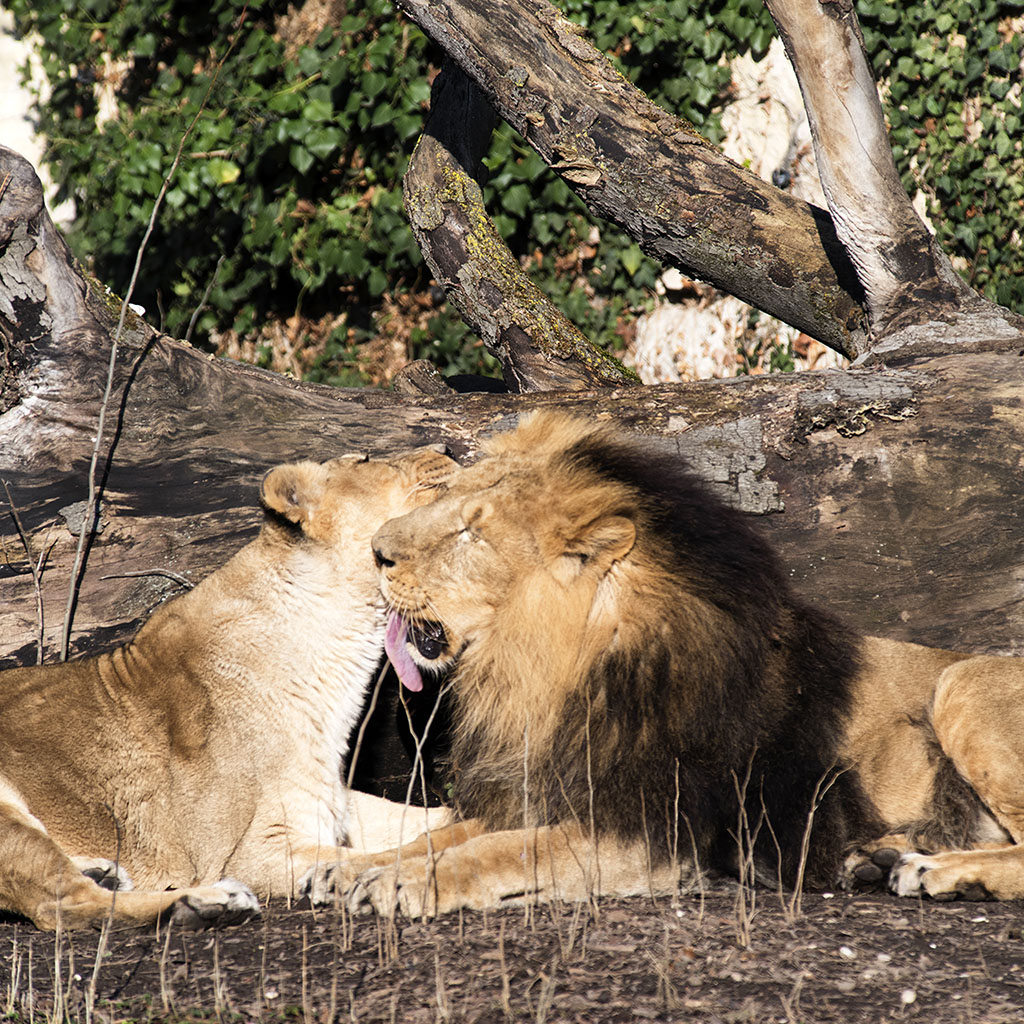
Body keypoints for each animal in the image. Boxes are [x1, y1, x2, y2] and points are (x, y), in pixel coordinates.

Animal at [0, 444, 456, 933]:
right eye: (366, 460)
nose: (447, 449)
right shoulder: (249, 852)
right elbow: (384, 855)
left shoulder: (332, 802)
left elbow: (433, 820)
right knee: (61, 904)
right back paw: (206, 903)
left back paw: (103, 870)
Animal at [301, 411, 1024, 917]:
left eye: (471, 532)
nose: (376, 550)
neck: (547, 671)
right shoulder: (554, 784)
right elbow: (451, 835)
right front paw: (354, 864)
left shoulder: (654, 828)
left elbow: (505, 850)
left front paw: (401, 881)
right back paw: (881, 858)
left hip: (960, 681)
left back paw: (935, 872)